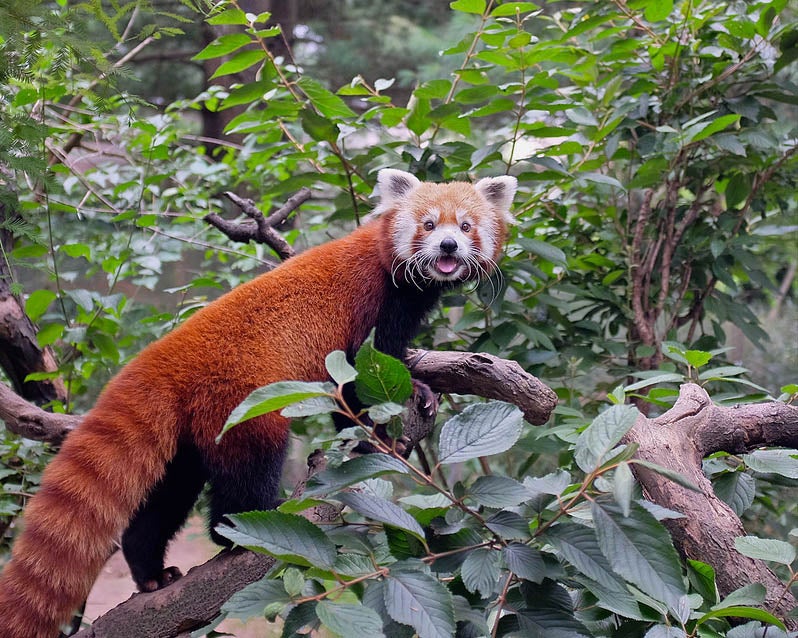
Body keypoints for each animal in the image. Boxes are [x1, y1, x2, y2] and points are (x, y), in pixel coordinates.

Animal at [0, 168, 520, 636]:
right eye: (429, 225)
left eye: (466, 226)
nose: (448, 247)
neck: (393, 271)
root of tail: (163, 357)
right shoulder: (371, 311)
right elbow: (358, 381)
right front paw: (389, 422)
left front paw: (419, 385)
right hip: (240, 401)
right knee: (248, 467)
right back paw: (244, 524)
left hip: (187, 435)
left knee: (166, 497)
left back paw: (151, 573)